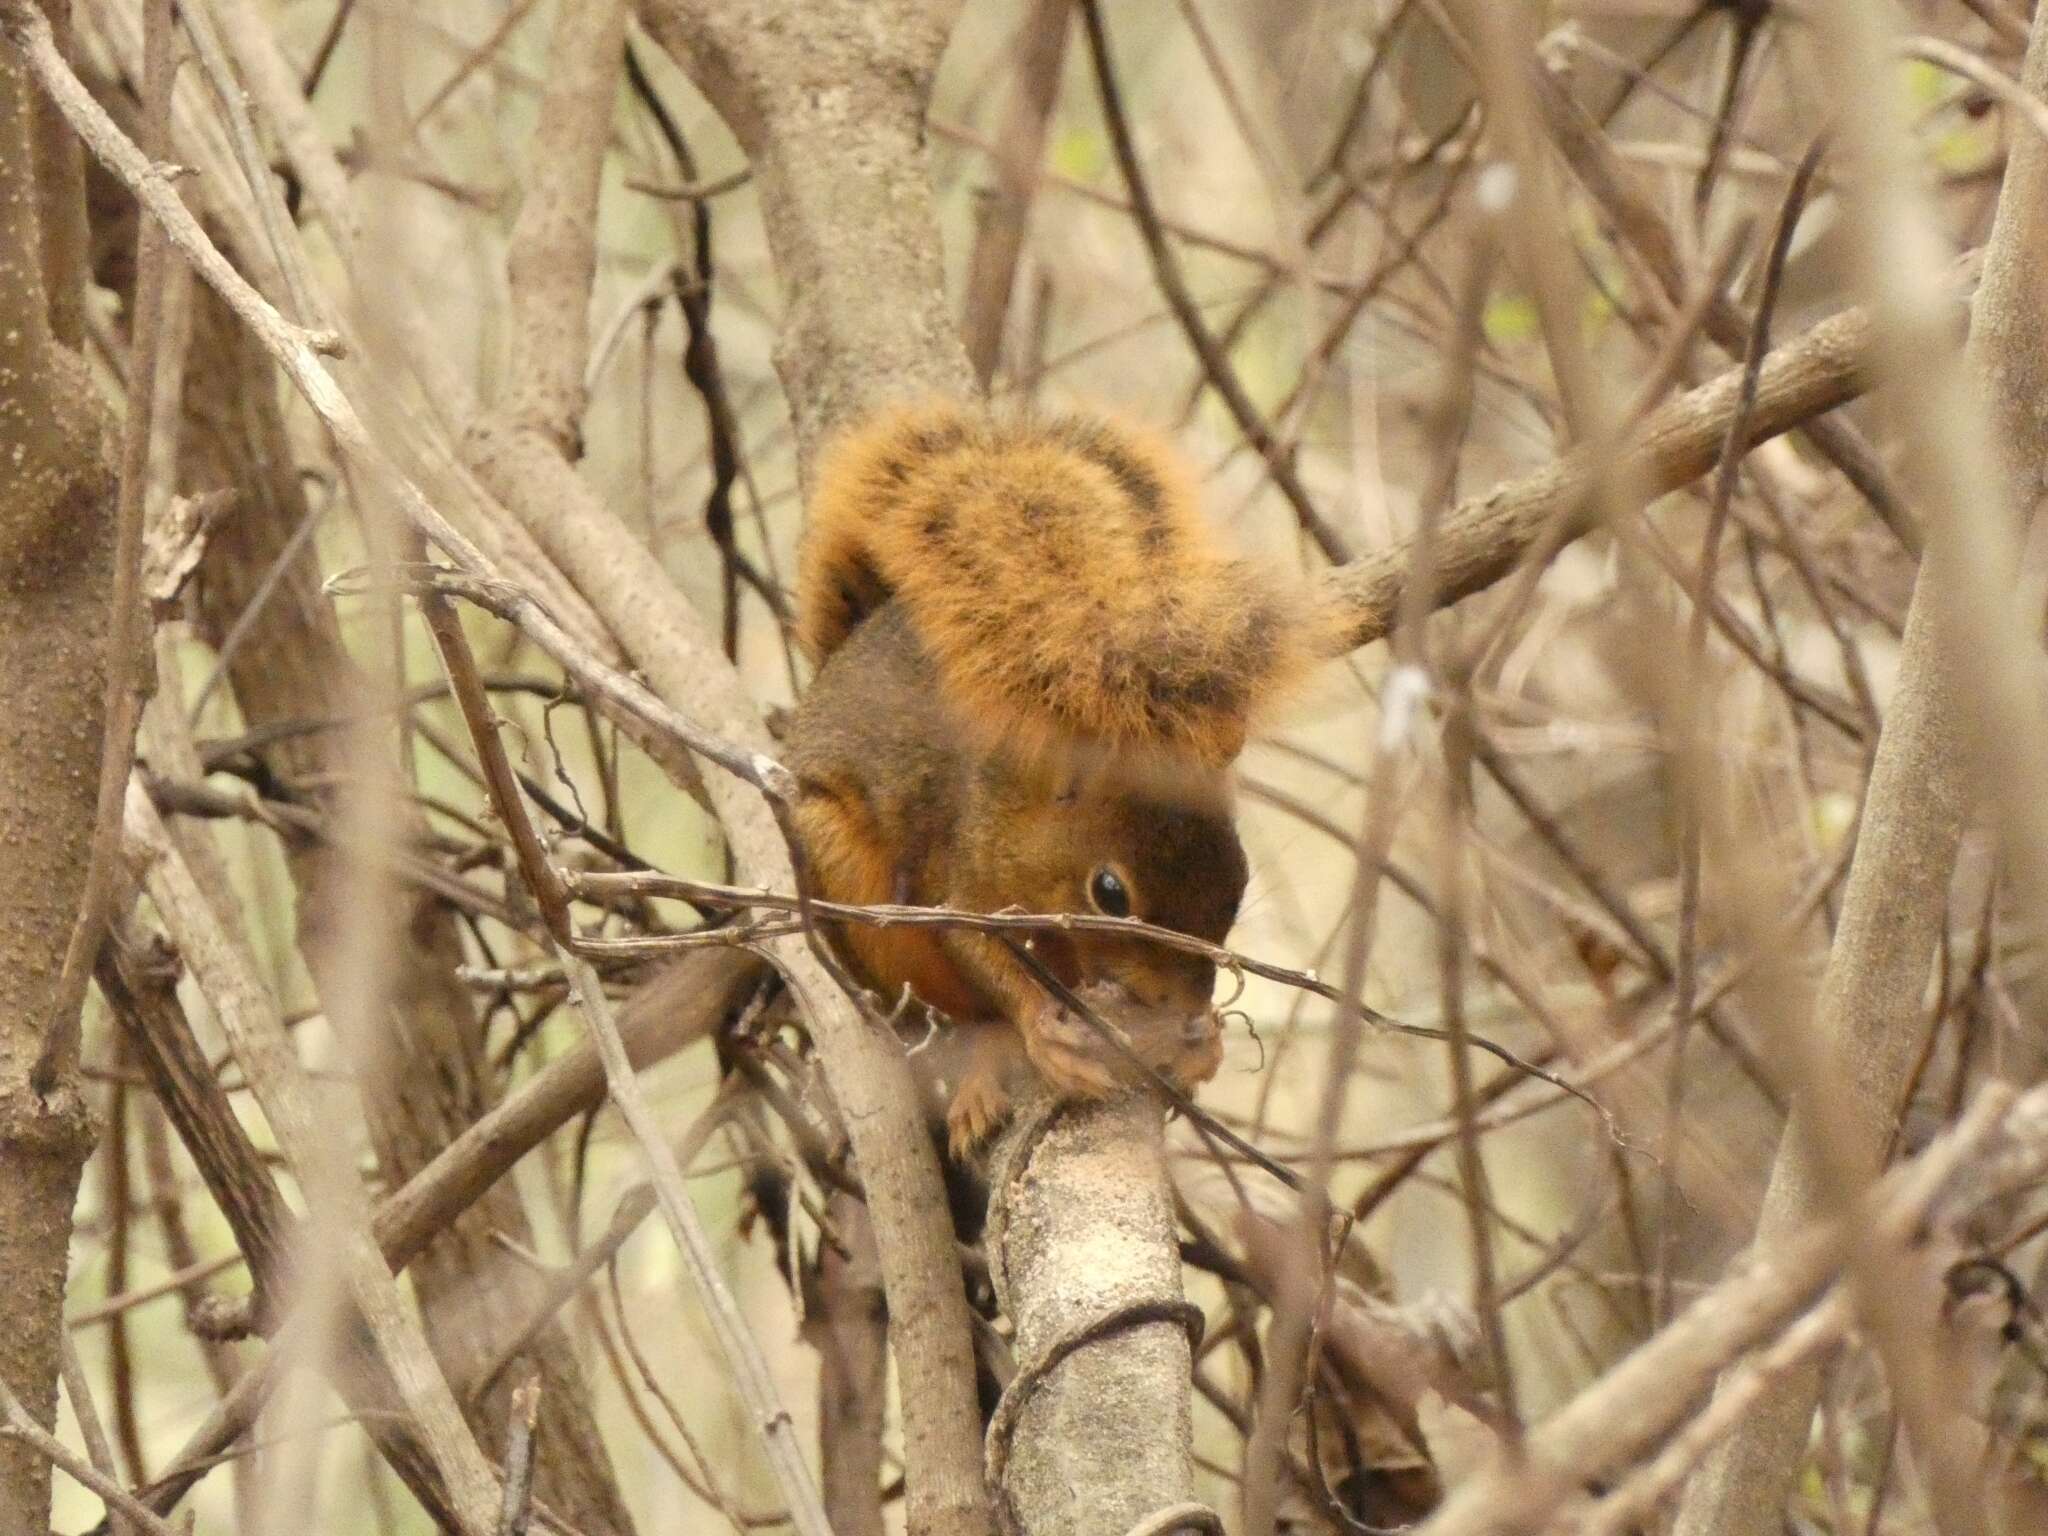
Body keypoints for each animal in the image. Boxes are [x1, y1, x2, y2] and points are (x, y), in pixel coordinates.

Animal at [782, 405, 1327, 1155]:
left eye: (1239, 878)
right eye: (1109, 894)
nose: (1190, 1003)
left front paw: (1203, 1042)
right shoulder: (961, 882)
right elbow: (978, 951)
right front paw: (1046, 1029)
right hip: (854, 896)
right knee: (961, 1018)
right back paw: (982, 1077)